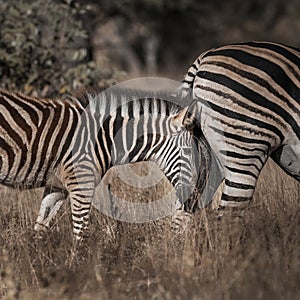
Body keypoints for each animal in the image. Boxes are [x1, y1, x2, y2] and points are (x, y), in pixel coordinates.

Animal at [0, 86, 206, 239]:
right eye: (189, 152)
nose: (194, 193)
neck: (105, 139)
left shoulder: (56, 186)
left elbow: (41, 227)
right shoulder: (82, 184)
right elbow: (80, 234)